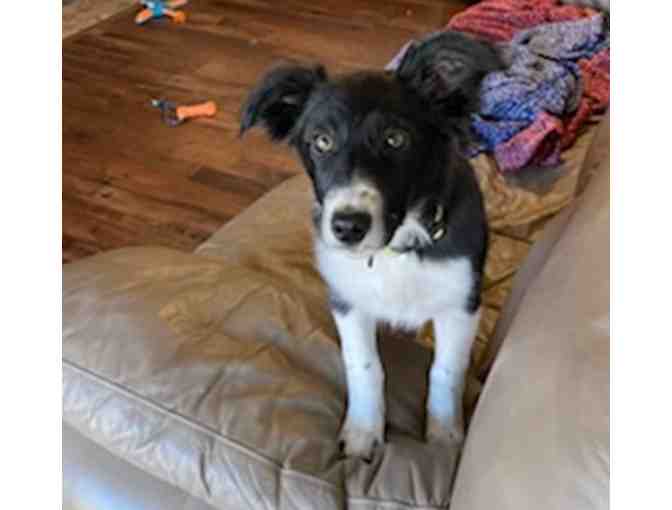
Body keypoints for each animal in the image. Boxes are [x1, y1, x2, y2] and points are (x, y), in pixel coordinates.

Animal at [239, 32, 502, 462]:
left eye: (396, 139)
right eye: (322, 141)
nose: (347, 227)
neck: (395, 250)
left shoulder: (462, 304)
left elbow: (446, 369)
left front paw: (444, 436)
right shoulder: (347, 301)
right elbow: (363, 365)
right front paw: (364, 432)